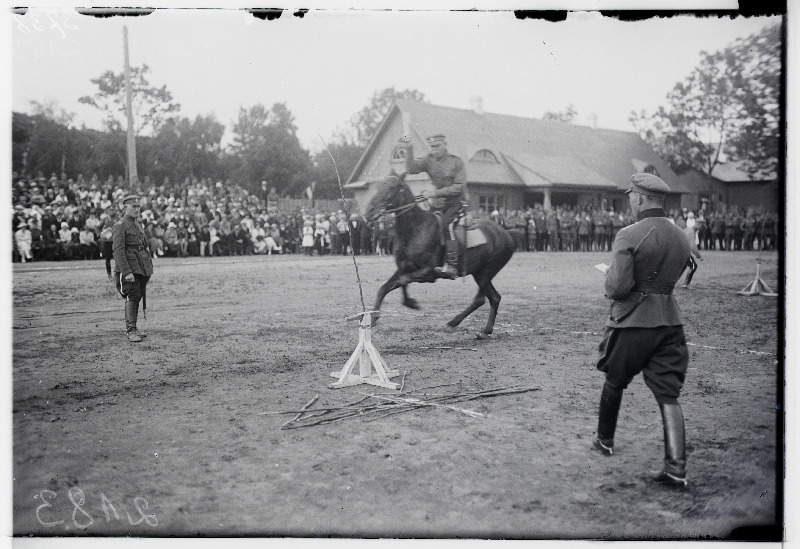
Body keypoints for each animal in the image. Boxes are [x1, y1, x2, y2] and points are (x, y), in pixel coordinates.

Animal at [366, 173, 516, 336]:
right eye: (378, 187)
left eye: (391, 187)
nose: (370, 210)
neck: (415, 229)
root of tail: (507, 235)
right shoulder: (403, 268)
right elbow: (385, 288)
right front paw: (374, 318)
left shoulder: (428, 272)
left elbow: (403, 280)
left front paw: (412, 303)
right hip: (479, 272)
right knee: (495, 298)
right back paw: (486, 329)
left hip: (487, 271)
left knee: (480, 299)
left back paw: (454, 323)